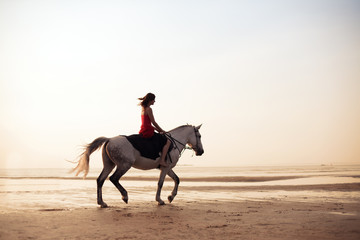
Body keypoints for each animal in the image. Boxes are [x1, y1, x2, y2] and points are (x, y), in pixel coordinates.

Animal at [71, 124, 204, 207]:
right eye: (199, 136)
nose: (201, 151)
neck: (174, 142)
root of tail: (109, 139)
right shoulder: (166, 168)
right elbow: (160, 183)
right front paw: (160, 200)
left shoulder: (167, 168)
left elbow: (177, 179)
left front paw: (171, 197)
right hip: (124, 165)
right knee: (113, 178)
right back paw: (124, 196)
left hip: (109, 165)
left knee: (100, 180)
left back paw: (102, 203)